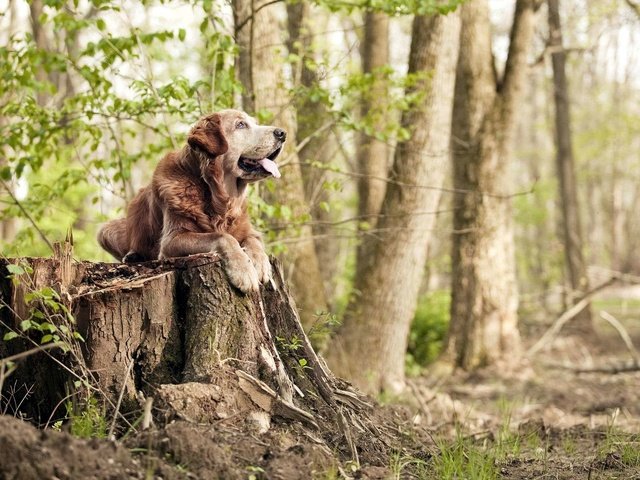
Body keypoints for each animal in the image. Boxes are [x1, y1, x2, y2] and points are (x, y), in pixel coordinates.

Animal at [97, 110, 284, 292]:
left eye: (254, 122)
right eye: (240, 124)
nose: (282, 133)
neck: (218, 198)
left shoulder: (249, 230)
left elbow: (254, 241)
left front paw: (261, 264)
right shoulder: (172, 240)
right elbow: (223, 237)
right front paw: (243, 271)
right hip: (106, 230)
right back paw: (132, 256)